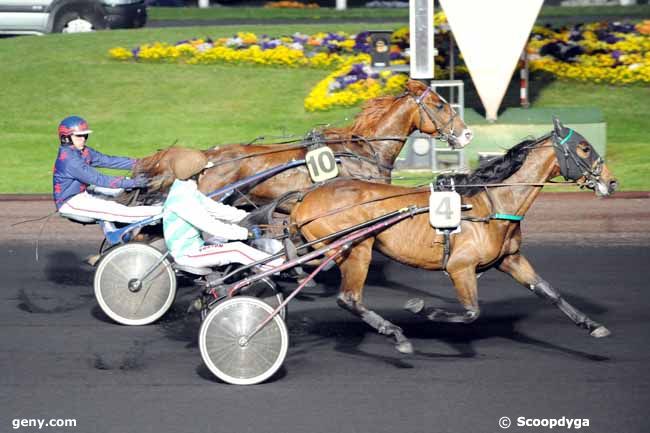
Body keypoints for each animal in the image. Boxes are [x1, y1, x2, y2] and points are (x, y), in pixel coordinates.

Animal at [290, 116, 616, 352]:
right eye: (584, 147)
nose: (611, 181)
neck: (492, 203)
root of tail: (305, 200)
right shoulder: (461, 266)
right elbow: (472, 312)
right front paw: (424, 310)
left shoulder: (510, 258)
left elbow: (549, 291)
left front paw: (591, 325)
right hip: (357, 247)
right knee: (349, 298)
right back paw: (396, 334)